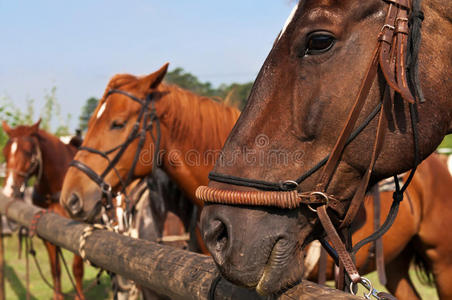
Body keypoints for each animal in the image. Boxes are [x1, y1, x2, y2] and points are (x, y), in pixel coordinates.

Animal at [1, 120, 85, 300]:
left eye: (27, 152)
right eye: (5, 152)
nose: (9, 191)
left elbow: (77, 270)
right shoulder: (47, 233)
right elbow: (55, 270)